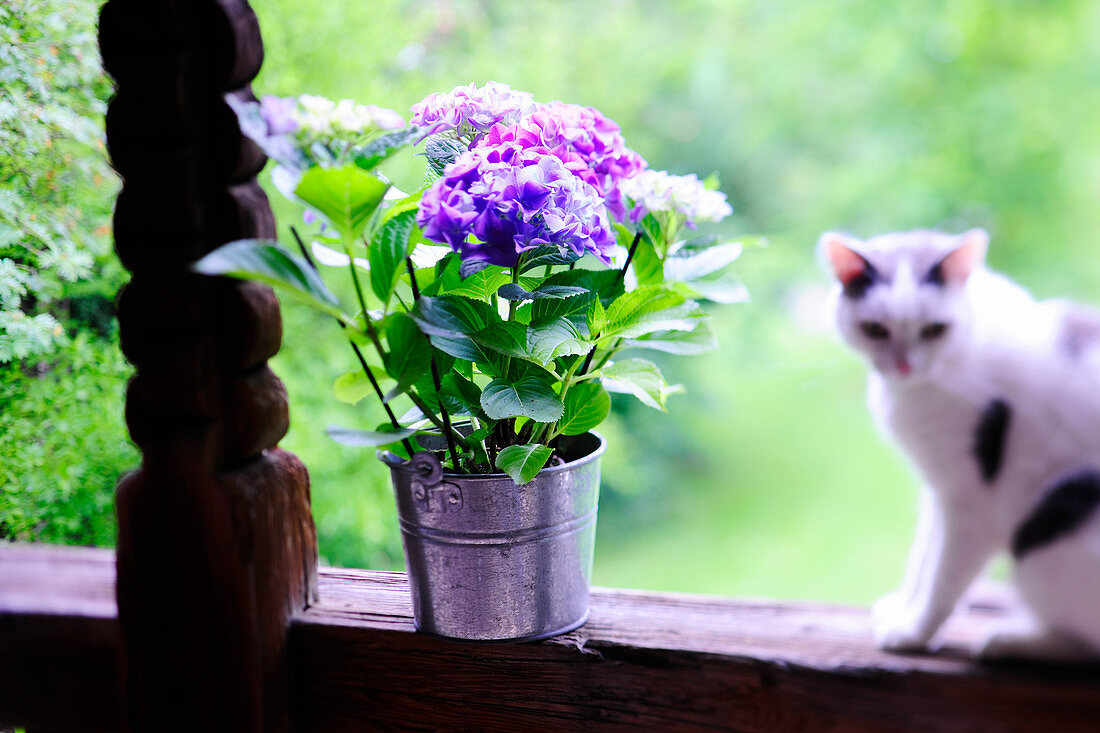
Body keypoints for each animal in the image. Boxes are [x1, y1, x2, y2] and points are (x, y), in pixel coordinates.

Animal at [822, 226, 1100, 655]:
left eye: (935, 329)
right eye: (875, 329)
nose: (904, 365)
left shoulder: (971, 502)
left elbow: (943, 576)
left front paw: (913, 633)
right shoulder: (940, 487)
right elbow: (922, 558)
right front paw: (902, 607)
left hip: (1045, 535)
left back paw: (1010, 642)